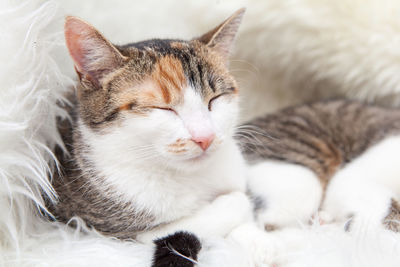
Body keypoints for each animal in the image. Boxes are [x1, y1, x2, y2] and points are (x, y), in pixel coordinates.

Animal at [50, 7, 400, 266]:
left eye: (215, 100)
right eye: (162, 108)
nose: (204, 137)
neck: (191, 178)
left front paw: (259, 241)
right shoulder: (98, 224)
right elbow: (203, 216)